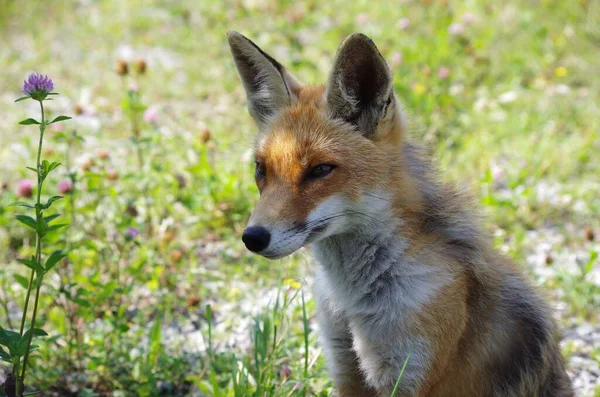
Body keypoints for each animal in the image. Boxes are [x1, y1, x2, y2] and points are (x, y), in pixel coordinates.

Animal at [226, 31, 572, 396]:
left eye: (320, 170)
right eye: (261, 169)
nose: (253, 237)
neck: (353, 304)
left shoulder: (409, 374)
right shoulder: (345, 366)